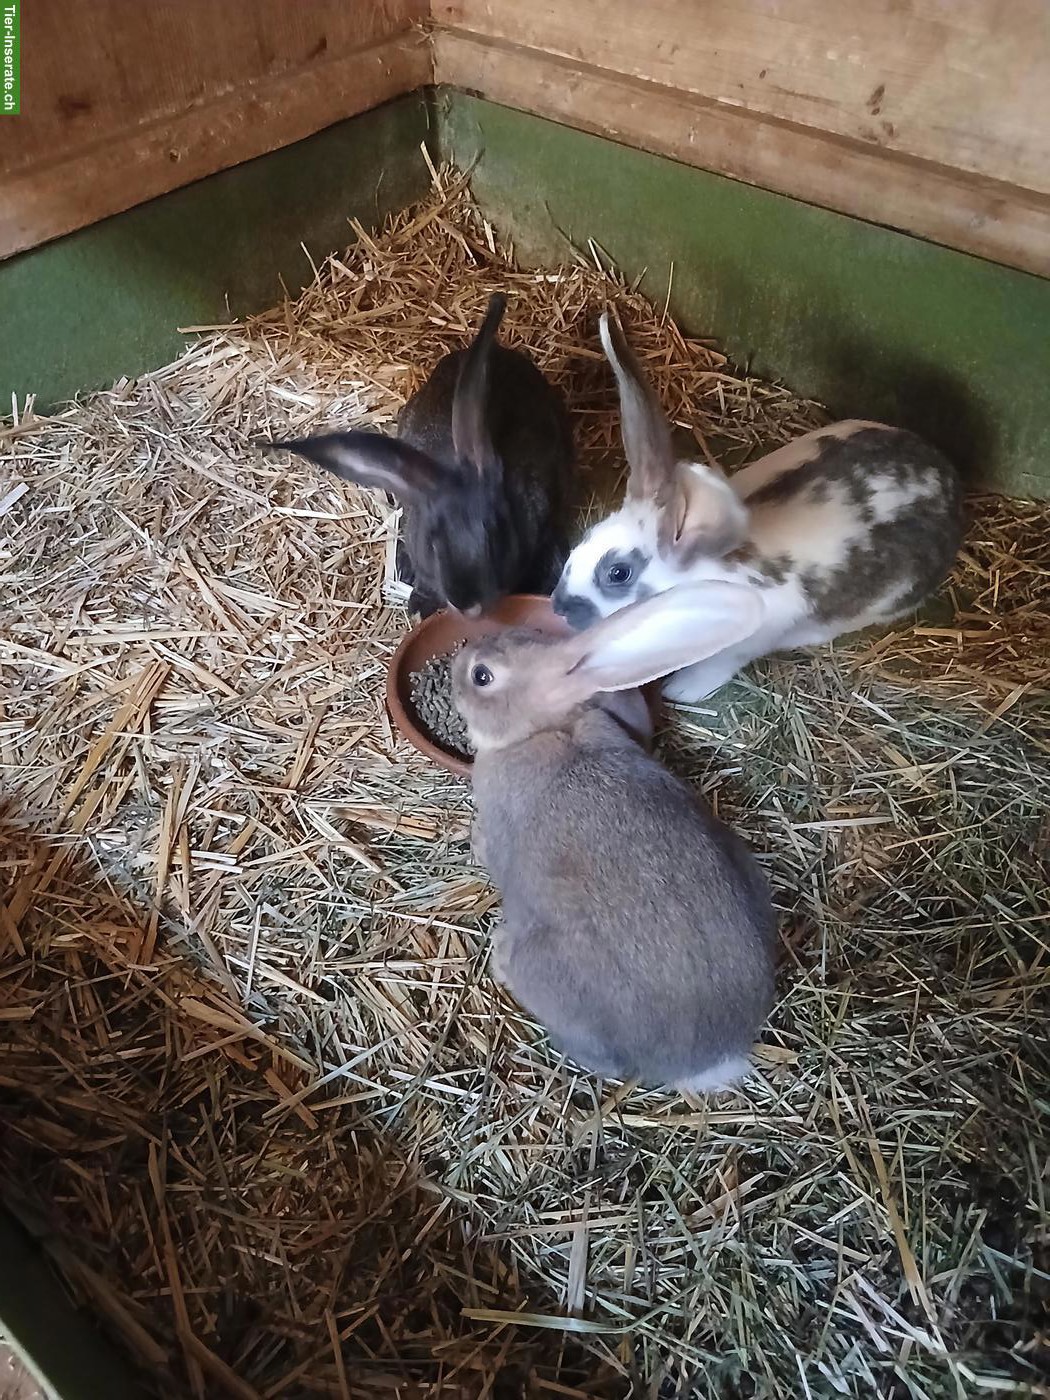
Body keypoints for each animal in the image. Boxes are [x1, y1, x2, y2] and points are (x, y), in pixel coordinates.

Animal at [452, 582, 777, 1092]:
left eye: (481, 676)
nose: (455, 663)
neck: (549, 727)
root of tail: (707, 1060)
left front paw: (475, 841)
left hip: (547, 968)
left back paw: (502, 958)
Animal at [551, 311, 965, 702]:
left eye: (618, 573)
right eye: (586, 536)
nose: (559, 606)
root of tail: (948, 478)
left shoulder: (749, 637)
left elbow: (719, 664)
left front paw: (681, 690)